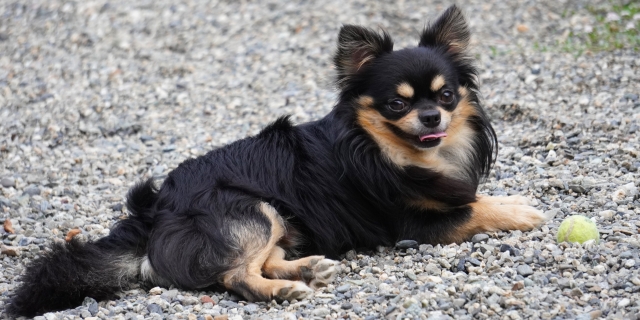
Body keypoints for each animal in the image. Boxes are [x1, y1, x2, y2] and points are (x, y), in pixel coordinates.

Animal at [6, 5, 552, 318]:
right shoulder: (411, 224)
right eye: (397, 105)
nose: (432, 115)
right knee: (235, 276)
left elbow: (470, 196)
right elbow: (472, 208)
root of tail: (153, 212)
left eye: (447, 94)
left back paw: (309, 268)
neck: (391, 150)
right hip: (250, 210)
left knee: (263, 259)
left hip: (278, 215)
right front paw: (520, 209)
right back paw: (285, 292)